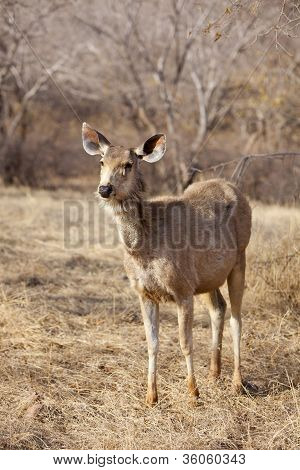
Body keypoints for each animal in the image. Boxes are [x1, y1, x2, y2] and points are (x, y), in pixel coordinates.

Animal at [81, 123, 251, 406]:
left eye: (129, 164)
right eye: (102, 161)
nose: (105, 189)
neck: (144, 247)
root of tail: (235, 188)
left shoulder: (182, 288)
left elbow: (185, 342)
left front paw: (193, 393)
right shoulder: (145, 292)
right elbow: (152, 343)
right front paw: (151, 396)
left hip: (240, 257)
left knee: (237, 318)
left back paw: (237, 383)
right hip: (207, 278)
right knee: (219, 308)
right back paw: (213, 374)